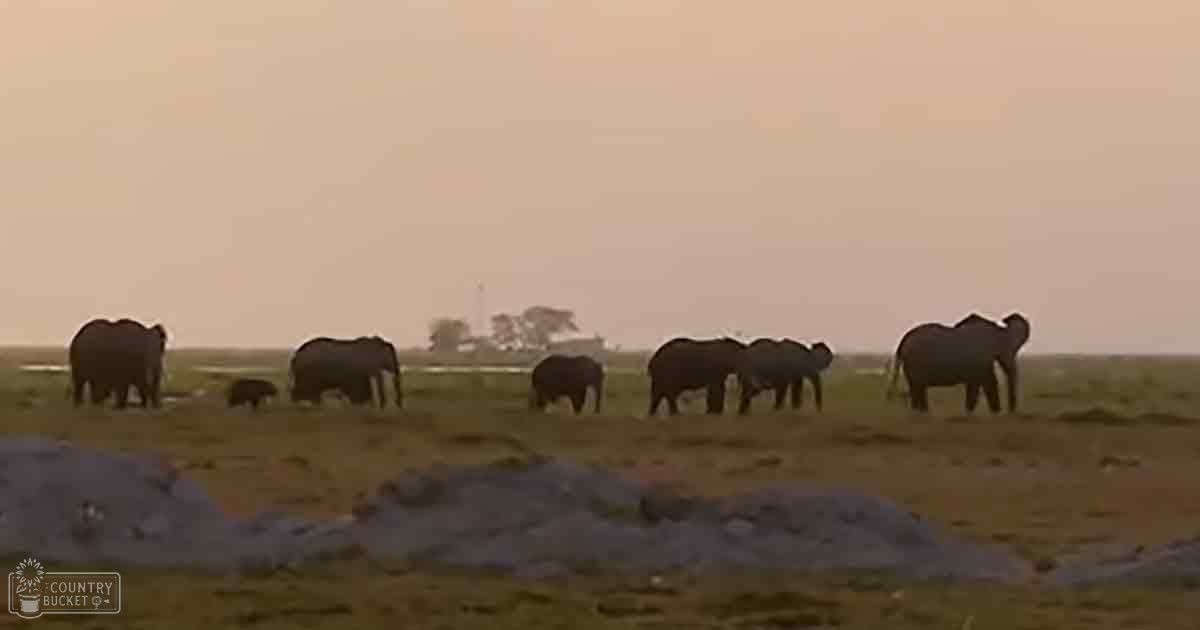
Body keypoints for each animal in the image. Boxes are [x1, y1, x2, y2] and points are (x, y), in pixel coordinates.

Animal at [886, 312, 1031, 413]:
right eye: (1007, 349)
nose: (1010, 412)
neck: (997, 330)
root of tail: (902, 342)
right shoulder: (979, 356)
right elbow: (986, 380)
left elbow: (985, 381)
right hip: (915, 361)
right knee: (918, 387)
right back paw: (923, 414)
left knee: (917, 388)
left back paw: (921, 413)